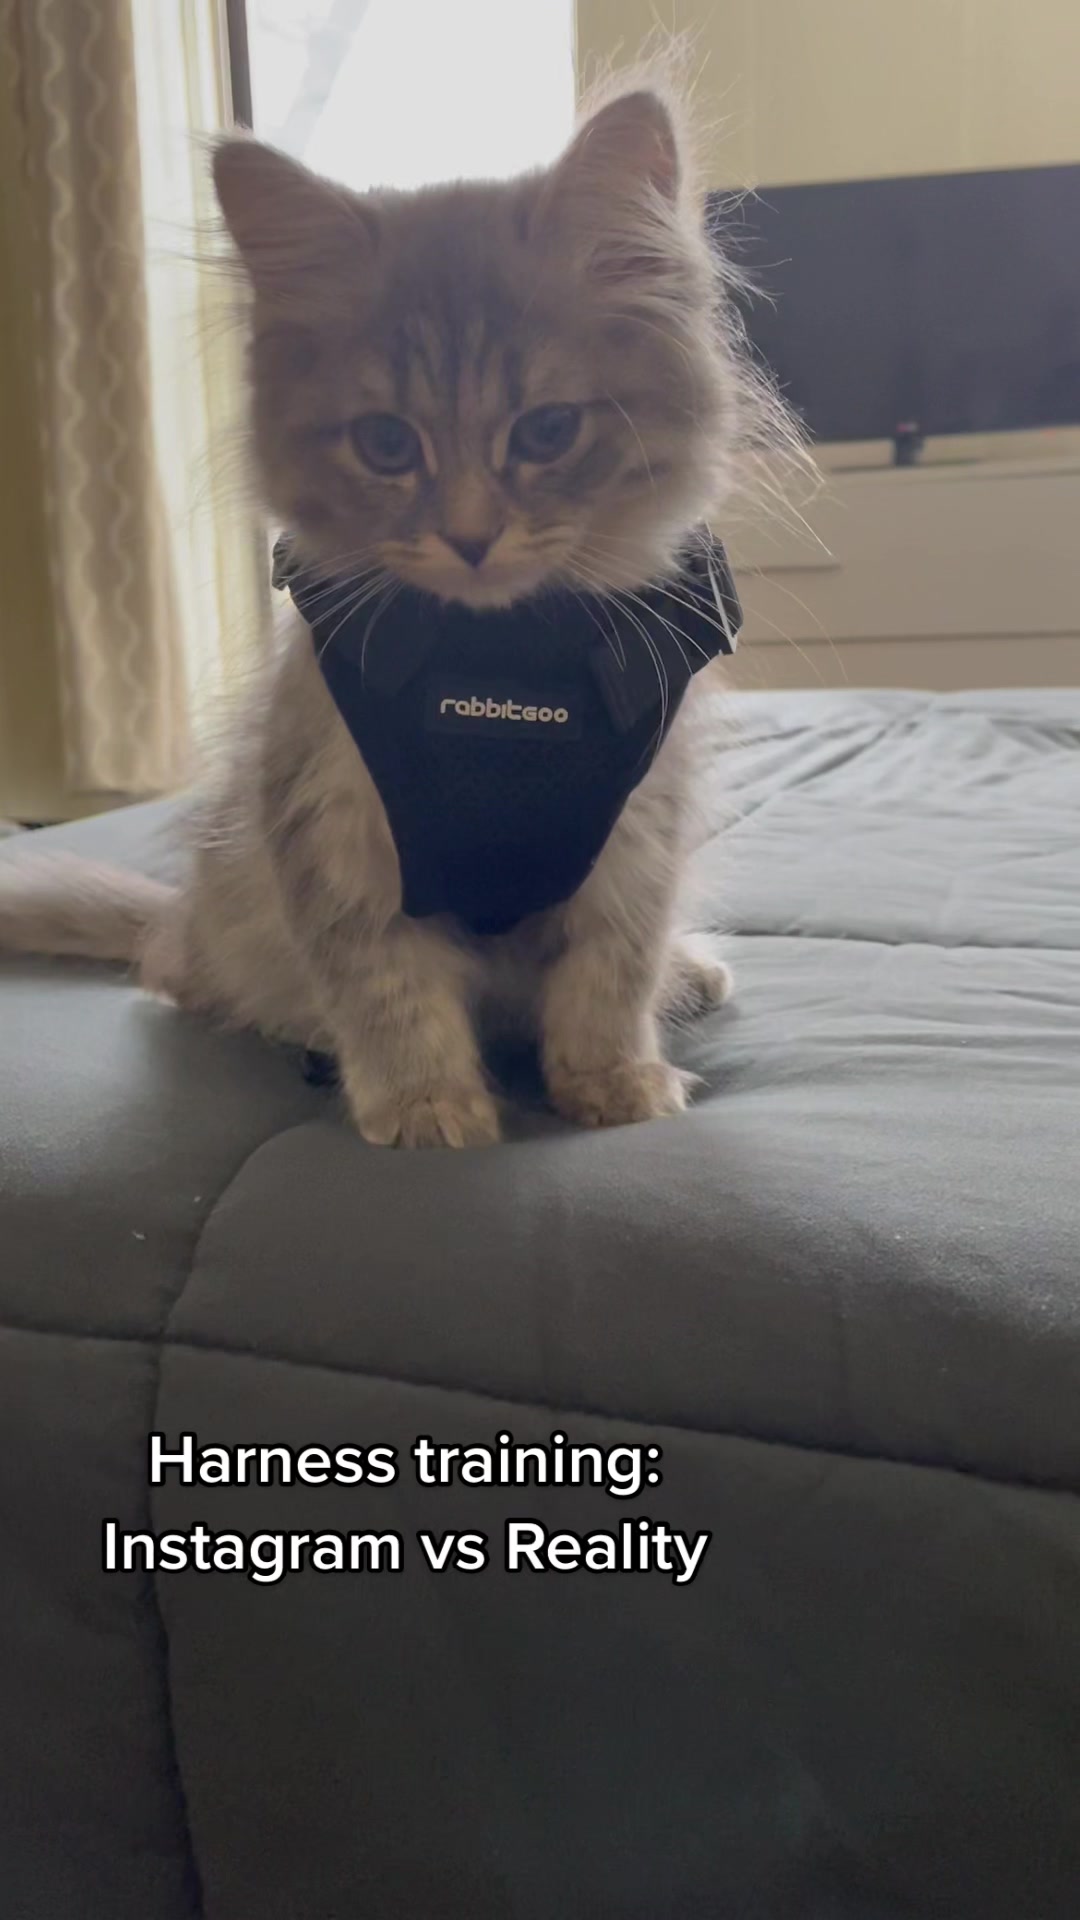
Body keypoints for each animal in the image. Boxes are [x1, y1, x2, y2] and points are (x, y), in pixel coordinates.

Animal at [0, 80, 784, 1149]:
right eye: (385, 444)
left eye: (547, 431)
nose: (470, 536)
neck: (505, 666)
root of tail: (179, 921)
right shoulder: (331, 831)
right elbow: (386, 989)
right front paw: (427, 1107)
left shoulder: (636, 837)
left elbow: (608, 975)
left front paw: (613, 1081)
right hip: (223, 927)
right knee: (189, 981)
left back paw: (690, 972)